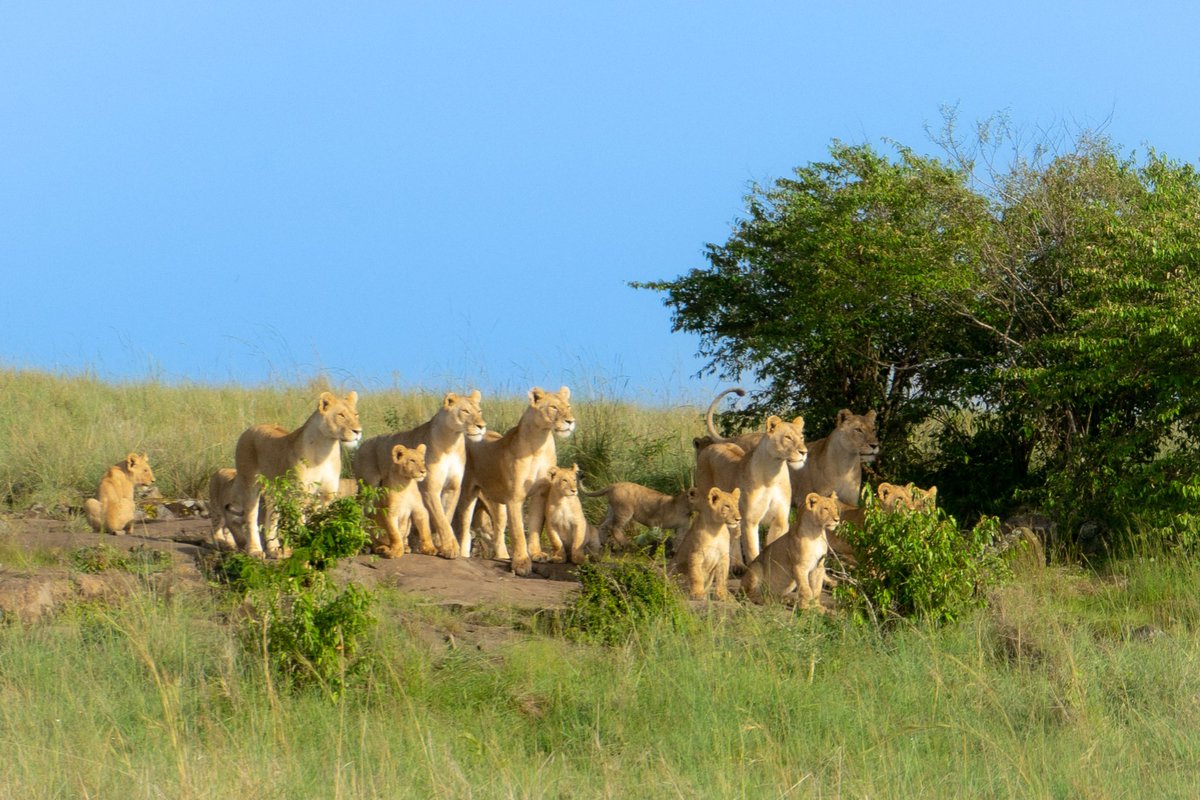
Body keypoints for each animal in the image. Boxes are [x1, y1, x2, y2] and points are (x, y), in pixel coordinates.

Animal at [233, 391, 363, 558]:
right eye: (341, 415)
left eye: (356, 415)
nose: (358, 431)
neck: (325, 449)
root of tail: (251, 428)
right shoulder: (300, 495)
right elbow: (300, 524)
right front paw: (303, 548)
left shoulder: (326, 495)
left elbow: (319, 522)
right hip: (250, 482)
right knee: (251, 516)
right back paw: (255, 550)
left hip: (276, 490)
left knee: (272, 518)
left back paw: (275, 550)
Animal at [354, 390, 486, 559]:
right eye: (465, 411)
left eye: (479, 411)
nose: (482, 426)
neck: (451, 442)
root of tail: (361, 444)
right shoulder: (430, 488)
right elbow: (441, 519)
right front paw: (450, 548)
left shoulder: (453, 488)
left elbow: (446, 516)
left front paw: (440, 546)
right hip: (367, 488)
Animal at [454, 386, 575, 576]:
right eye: (554, 407)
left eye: (568, 406)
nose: (570, 421)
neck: (539, 443)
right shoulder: (515, 498)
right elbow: (518, 531)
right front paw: (522, 563)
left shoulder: (540, 494)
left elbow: (535, 525)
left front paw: (537, 554)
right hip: (468, 493)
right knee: (465, 526)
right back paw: (464, 554)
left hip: (498, 506)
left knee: (498, 532)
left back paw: (503, 556)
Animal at [695, 389, 807, 569]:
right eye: (788, 437)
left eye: (801, 437)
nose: (804, 452)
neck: (772, 473)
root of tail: (711, 446)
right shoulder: (750, 520)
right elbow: (754, 552)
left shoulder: (781, 520)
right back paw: (736, 565)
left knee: (734, 533)